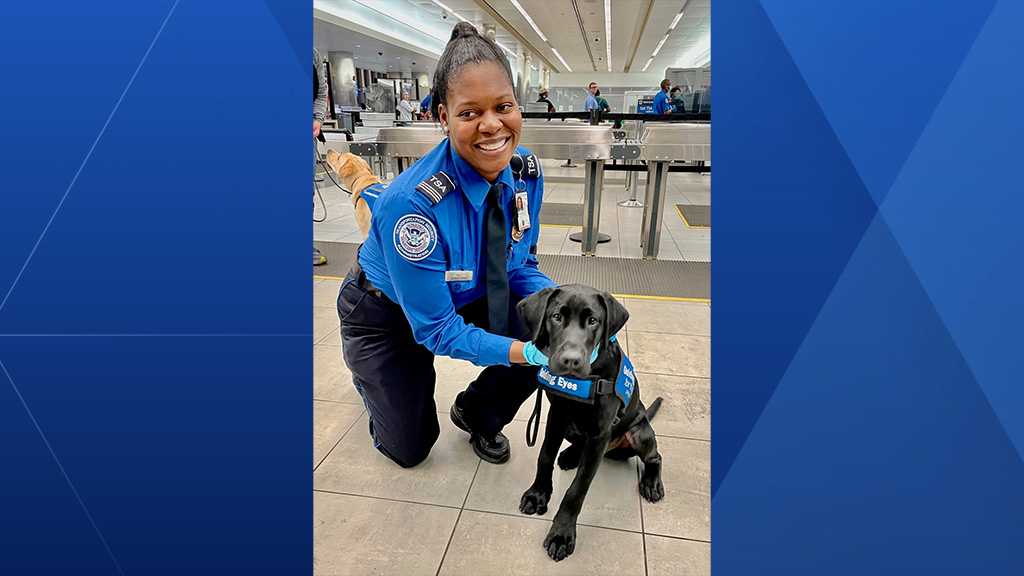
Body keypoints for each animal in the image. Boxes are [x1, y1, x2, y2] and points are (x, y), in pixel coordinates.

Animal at [516, 282, 667, 561]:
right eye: (556, 316)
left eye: (594, 321)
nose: (571, 361)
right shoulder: (557, 416)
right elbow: (544, 457)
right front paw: (538, 494)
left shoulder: (600, 433)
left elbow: (578, 487)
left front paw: (562, 533)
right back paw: (570, 456)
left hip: (638, 432)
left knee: (655, 457)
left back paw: (652, 483)